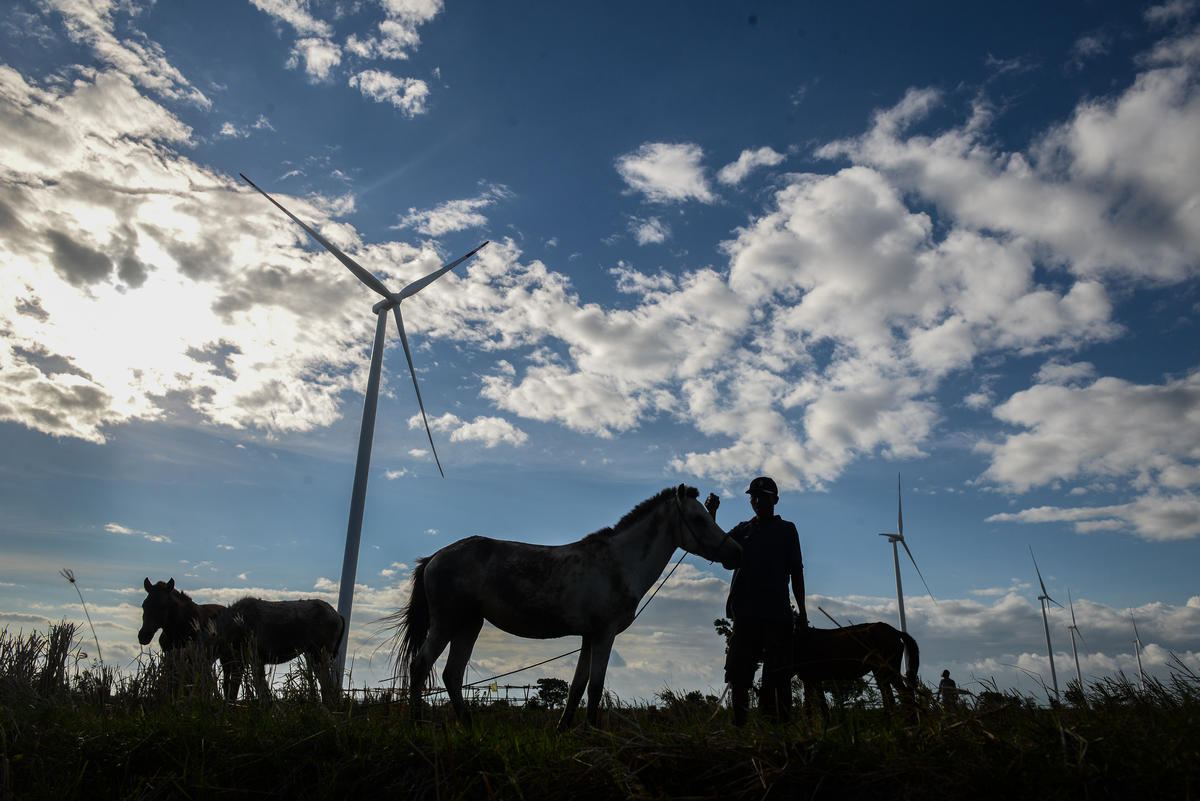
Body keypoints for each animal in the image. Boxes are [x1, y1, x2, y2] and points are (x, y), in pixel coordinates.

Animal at [205, 594, 345, 700]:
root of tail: (337, 615)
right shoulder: (243, 662)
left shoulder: (250, 660)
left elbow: (250, 687)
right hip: (313, 655)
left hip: (319, 655)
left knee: (327, 685)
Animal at [388, 484, 734, 729]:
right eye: (700, 518)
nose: (736, 552)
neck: (618, 563)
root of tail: (434, 557)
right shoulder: (604, 634)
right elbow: (595, 687)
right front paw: (596, 734)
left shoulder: (588, 637)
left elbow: (577, 688)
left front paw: (563, 731)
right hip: (446, 623)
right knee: (421, 667)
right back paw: (417, 726)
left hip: (469, 625)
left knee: (452, 675)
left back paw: (469, 727)